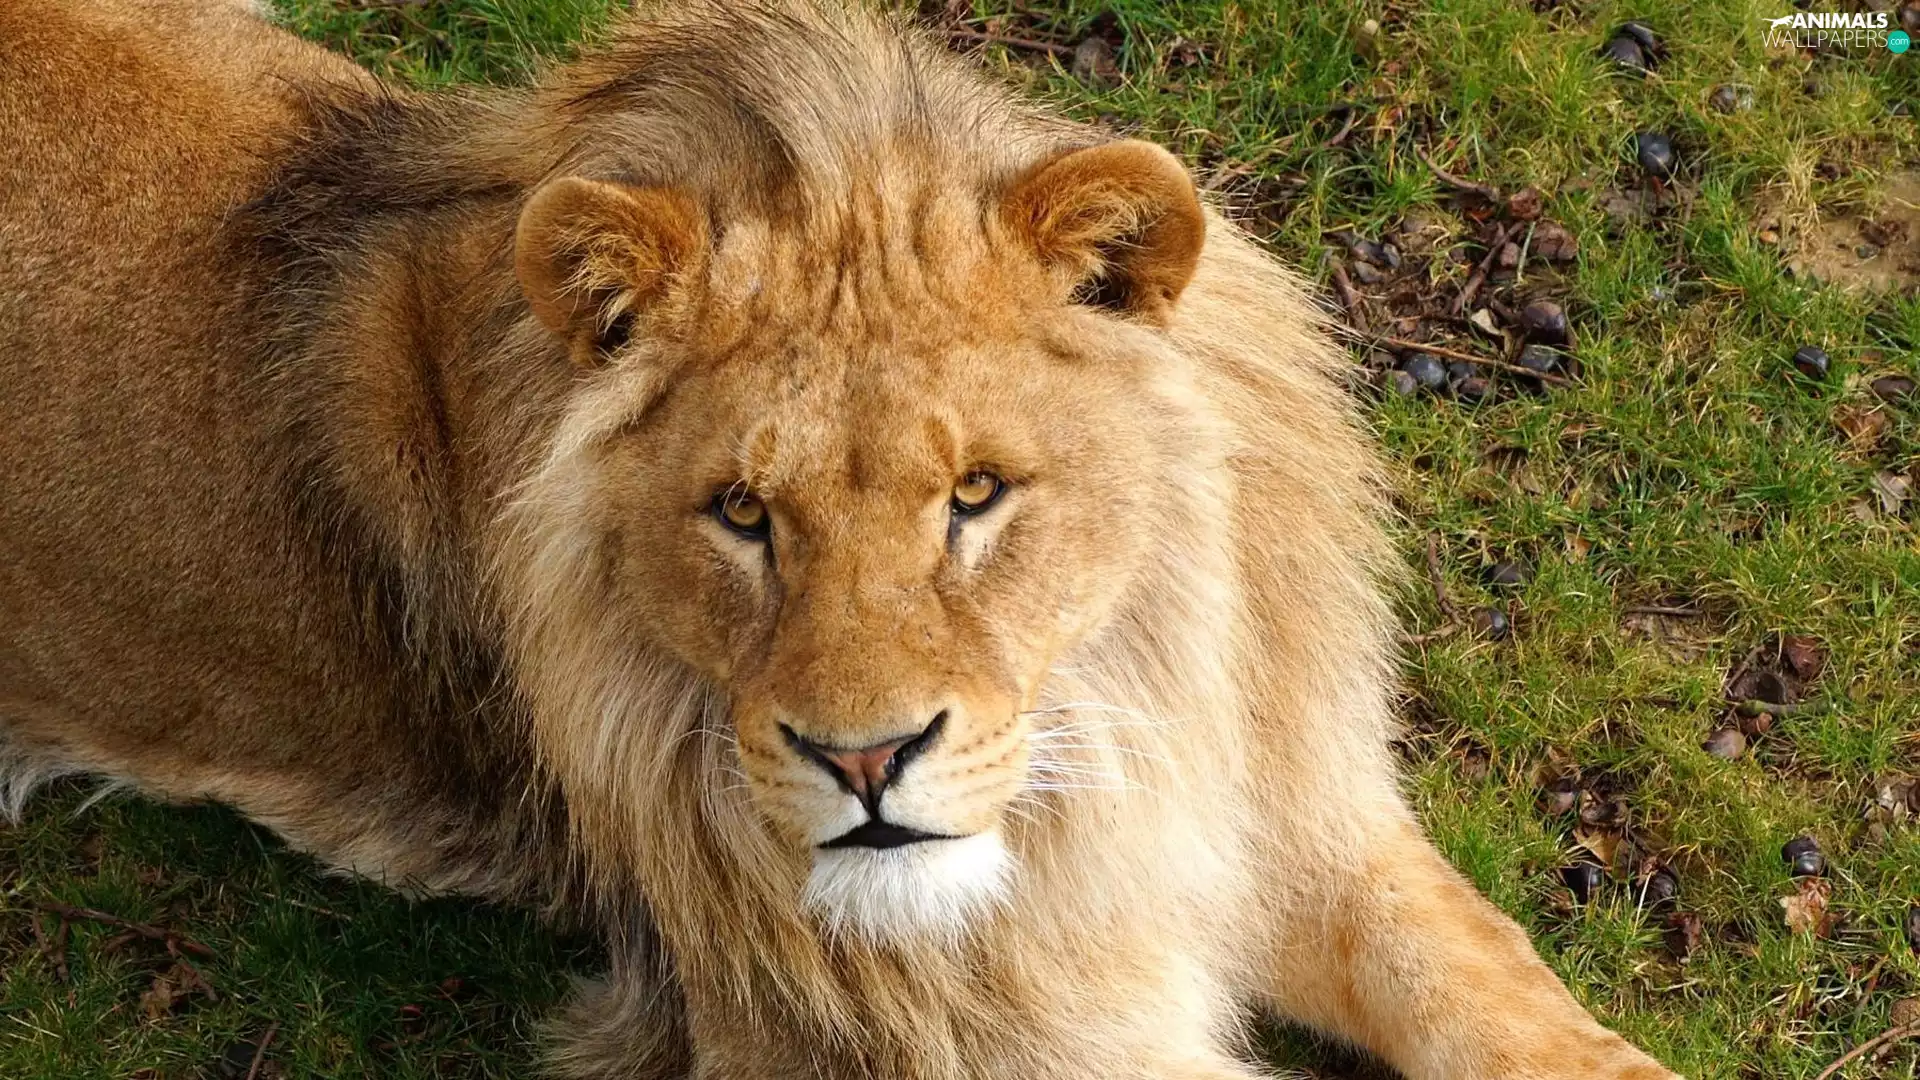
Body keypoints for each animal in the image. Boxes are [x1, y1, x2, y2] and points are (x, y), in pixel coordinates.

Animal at [0, 0, 1681, 1076]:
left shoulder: (1285, 804)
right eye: (743, 516)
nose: (865, 763)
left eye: (978, 496)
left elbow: (1494, 990)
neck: (1121, 722)